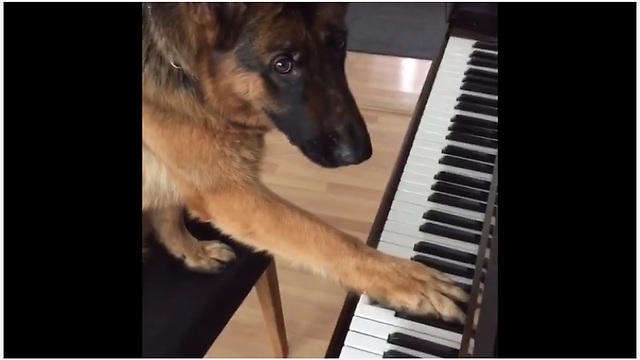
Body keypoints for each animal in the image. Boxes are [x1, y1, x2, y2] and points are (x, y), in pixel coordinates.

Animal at [142, 2, 472, 324]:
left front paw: (189, 251)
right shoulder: (232, 195)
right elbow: (330, 239)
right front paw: (405, 280)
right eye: (283, 65)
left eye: (338, 43)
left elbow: (169, 214)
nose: (360, 153)